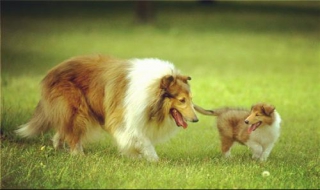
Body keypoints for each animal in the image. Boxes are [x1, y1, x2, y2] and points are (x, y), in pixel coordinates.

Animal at [16, 54, 200, 161]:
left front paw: (136, 156)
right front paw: (152, 159)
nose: (196, 119)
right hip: (77, 109)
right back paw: (78, 155)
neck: (151, 92)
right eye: (182, 100)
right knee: (73, 134)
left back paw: (60, 150)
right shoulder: (122, 118)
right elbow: (141, 139)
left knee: (64, 130)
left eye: (191, 99)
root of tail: (50, 73)